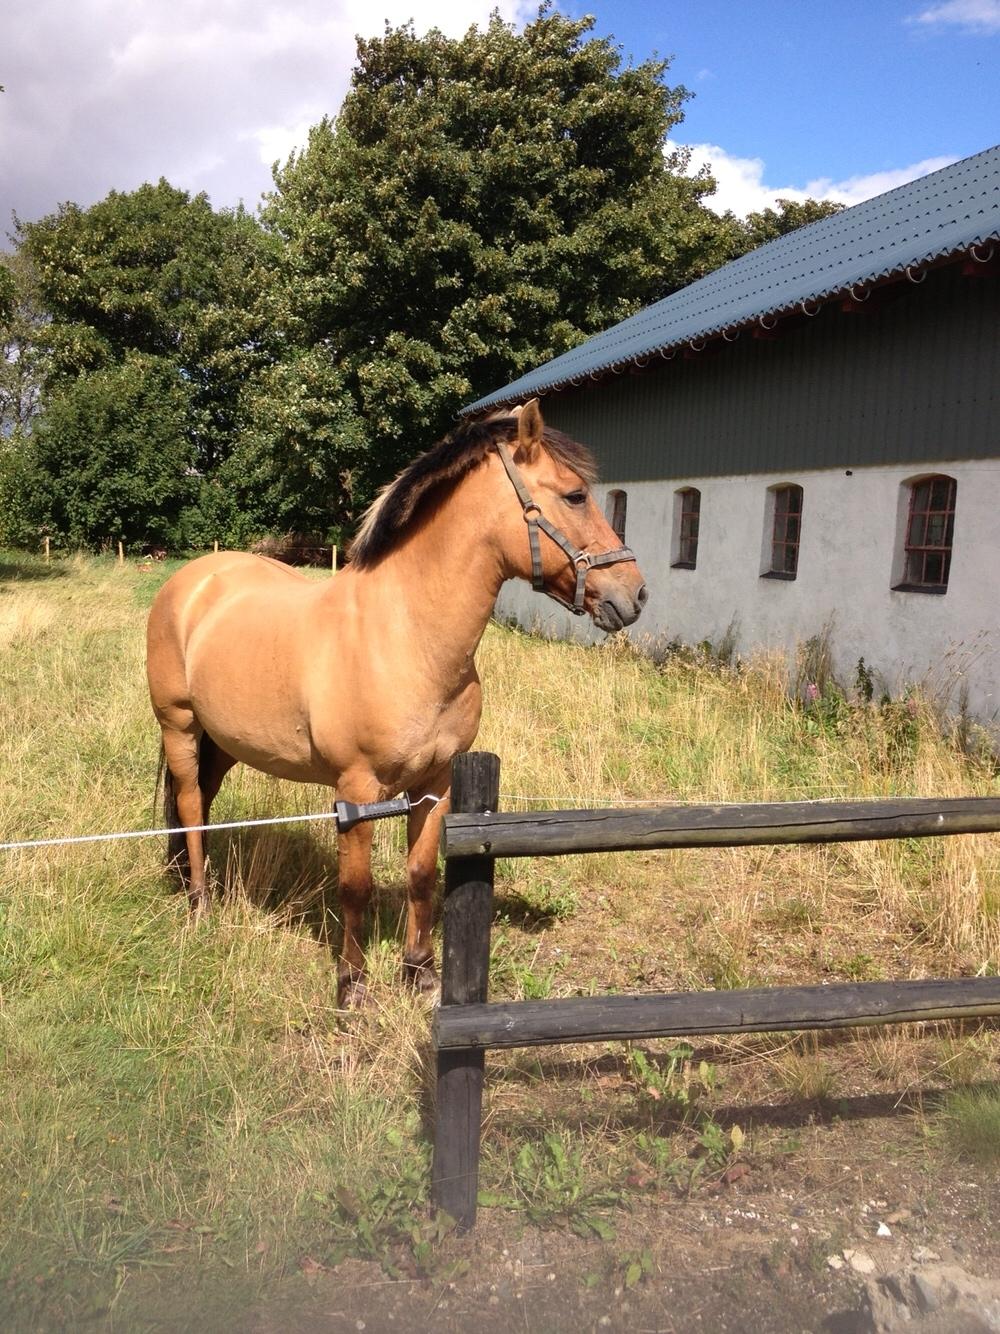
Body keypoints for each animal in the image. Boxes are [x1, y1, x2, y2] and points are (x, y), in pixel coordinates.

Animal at [148, 400, 650, 1003]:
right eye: (575, 495)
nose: (635, 593)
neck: (406, 637)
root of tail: (192, 579)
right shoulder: (355, 792)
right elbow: (355, 888)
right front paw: (351, 986)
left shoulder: (435, 786)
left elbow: (420, 874)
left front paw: (419, 971)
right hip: (178, 725)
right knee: (190, 805)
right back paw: (199, 904)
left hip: (223, 741)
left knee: (200, 800)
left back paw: (187, 881)